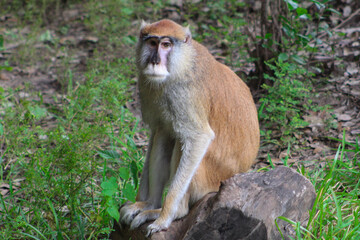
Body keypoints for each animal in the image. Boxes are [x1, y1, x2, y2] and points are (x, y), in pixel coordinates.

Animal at [119, 19, 260, 236]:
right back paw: (151, 205)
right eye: (152, 43)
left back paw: (174, 210)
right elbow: (156, 130)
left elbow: (199, 138)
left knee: (181, 142)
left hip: (211, 176)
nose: (154, 62)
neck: (183, 62)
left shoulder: (184, 94)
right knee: (164, 133)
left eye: (166, 45)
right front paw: (142, 203)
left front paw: (165, 217)